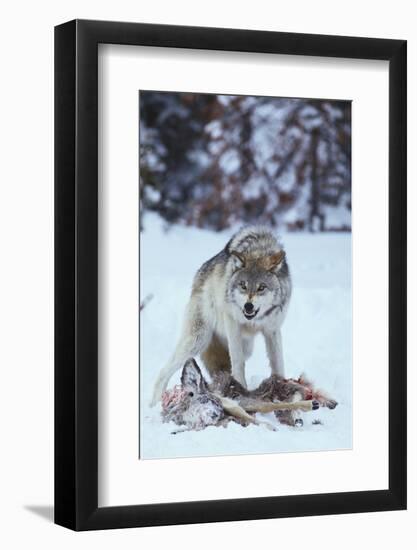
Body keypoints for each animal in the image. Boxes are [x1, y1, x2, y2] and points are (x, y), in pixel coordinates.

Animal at [151, 225, 290, 410]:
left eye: (261, 288)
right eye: (243, 285)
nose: (248, 306)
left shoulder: (272, 329)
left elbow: (278, 362)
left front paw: (284, 388)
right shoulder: (232, 324)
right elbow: (238, 362)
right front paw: (240, 390)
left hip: (246, 346)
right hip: (198, 339)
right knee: (164, 370)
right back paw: (155, 404)